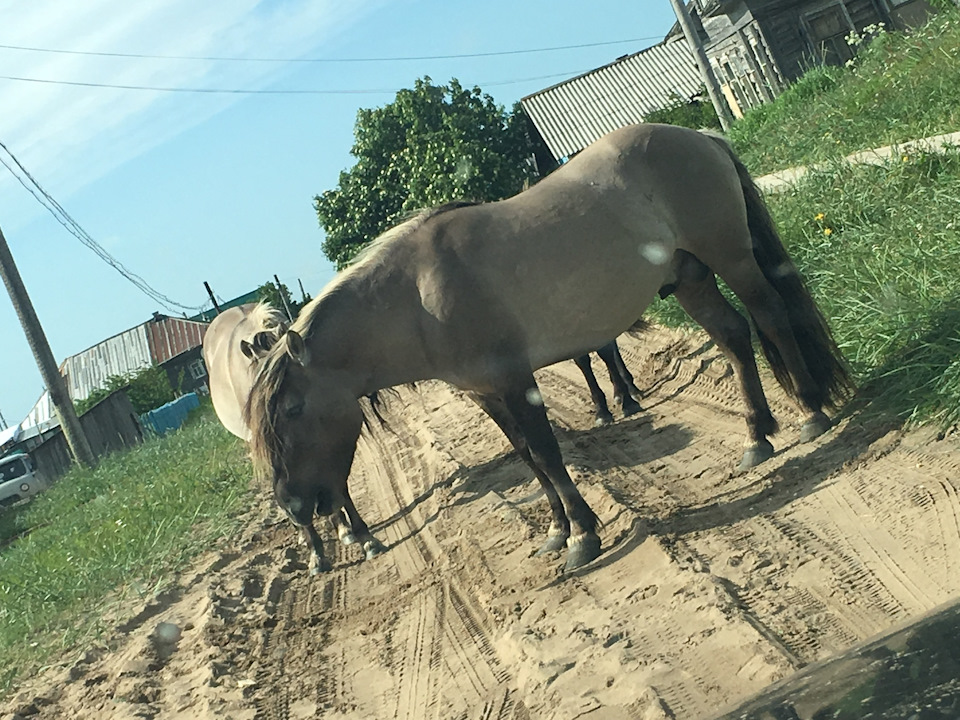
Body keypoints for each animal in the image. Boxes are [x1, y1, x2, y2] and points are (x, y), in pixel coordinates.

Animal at [244, 124, 852, 572]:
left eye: (292, 409)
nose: (293, 505)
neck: (417, 296)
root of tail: (700, 136)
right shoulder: (488, 395)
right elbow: (528, 458)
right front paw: (558, 531)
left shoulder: (517, 382)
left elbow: (547, 453)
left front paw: (583, 536)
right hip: (691, 278)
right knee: (733, 338)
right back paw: (756, 437)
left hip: (730, 256)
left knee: (769, 316)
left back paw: (810, 412)